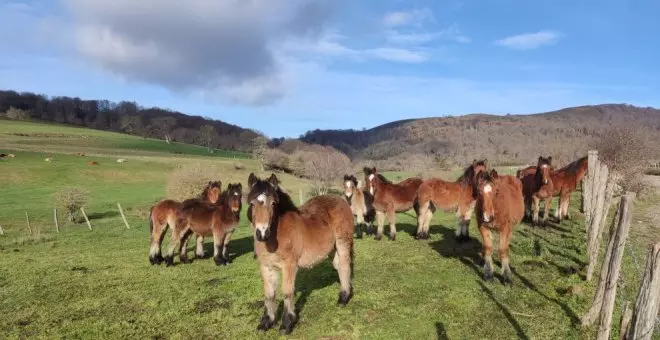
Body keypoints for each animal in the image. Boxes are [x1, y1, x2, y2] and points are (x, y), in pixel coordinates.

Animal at [248, 173, 354, 334]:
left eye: (273, 204)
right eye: (252, 204)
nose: (262, 233)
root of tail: (342, 200)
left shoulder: (289, 265)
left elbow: (287, 292)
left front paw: (286, 324)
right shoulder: (266, 266)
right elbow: (269, 294)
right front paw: (266, 322)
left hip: (343, 242)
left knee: (345, 265)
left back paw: (343, 299)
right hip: (332, 248)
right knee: (339, 266)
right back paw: (343, 293)